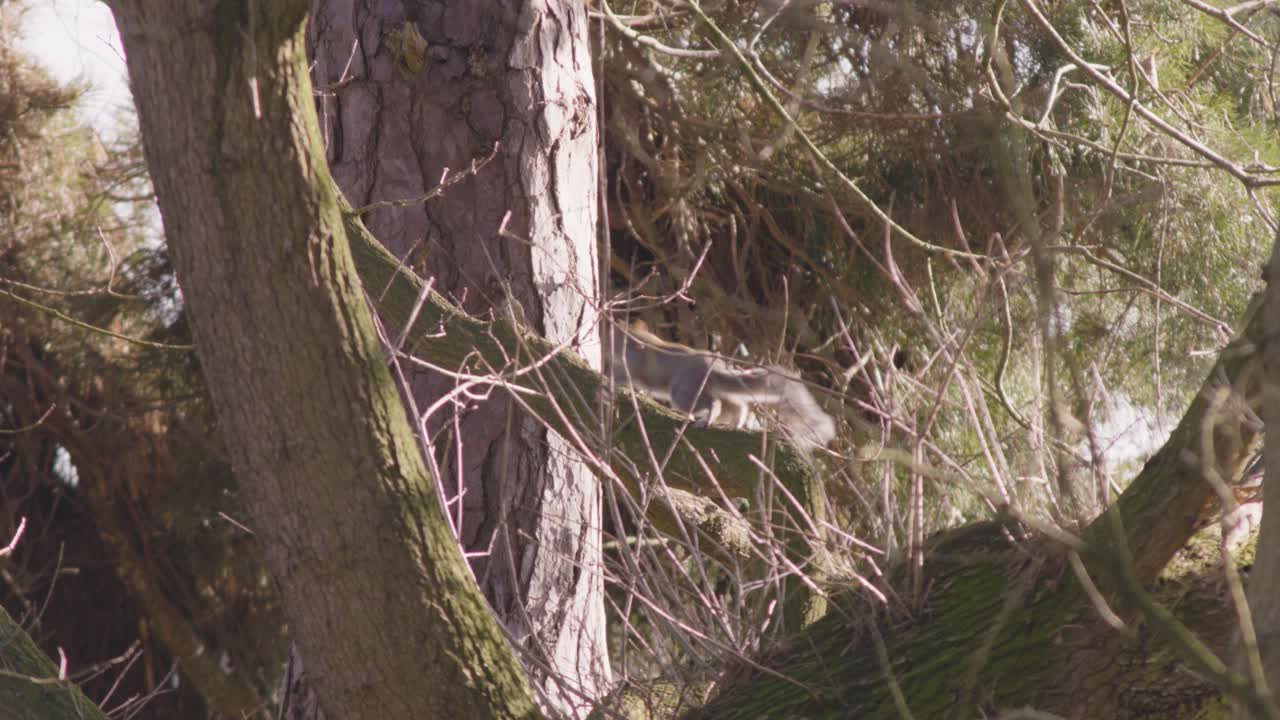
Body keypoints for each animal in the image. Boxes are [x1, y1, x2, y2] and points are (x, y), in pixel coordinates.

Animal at [604, 320, 837, 450]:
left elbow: (624, 375)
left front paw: (608, 376)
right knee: (739, 406)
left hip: (683, 392)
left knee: (713, 403)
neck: (631, 339)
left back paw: (704, 420)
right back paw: (736, 424)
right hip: (723, 395)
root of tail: (713, 368)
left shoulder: (633, 363)